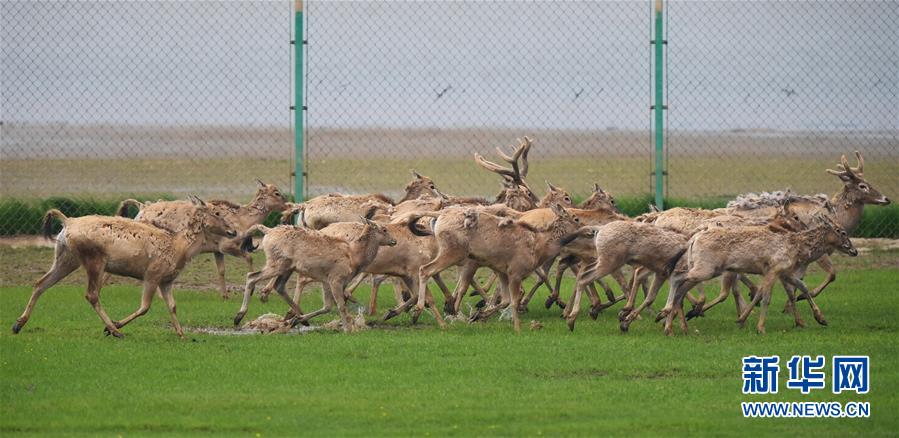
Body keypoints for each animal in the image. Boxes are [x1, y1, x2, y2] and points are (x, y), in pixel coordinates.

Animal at [11, 196, 236, 338]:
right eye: (217, 213)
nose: (233, 231)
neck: (178, 248)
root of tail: (67, 222)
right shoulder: (152, 274)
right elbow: (145, 307)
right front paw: (114, 326)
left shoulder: (167, 280)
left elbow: (172, 306)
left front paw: (182, 334)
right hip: (94, 259)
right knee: (91, 294)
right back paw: (115, 330)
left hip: (66, 257)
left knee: (41, 283)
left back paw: (17, 324)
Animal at [115, 180, 284, 300]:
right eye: (277, 193)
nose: (287, 204)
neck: (242, 219)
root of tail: (141, 207)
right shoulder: (226, 245)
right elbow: (249, 257)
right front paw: (254, 289)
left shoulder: (217, 250)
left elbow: (221, 270)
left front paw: (225, 295)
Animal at [236, 217, 398, 330]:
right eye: (384, 229)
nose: (394, 241)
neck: (354, 257)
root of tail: (268, 231)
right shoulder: (335, 278)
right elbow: (340, 305)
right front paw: (348, 329)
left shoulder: (327, 280)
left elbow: (327, 307)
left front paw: (297, 320)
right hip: (277, 263)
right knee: (251, 276)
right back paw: (239, 316)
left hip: (287, 267)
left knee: (279, 286)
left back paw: (301, 319)